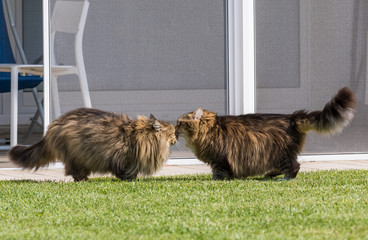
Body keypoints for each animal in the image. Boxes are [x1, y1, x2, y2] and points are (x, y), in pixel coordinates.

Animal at [7, 108, 177, 181]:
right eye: (173, 133)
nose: (177, 137)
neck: (138, 136)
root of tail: (54, 125)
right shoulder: (122, 158)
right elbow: (125, 171)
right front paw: (130, 179)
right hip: (76, 155)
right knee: (74, 171)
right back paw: (83, 179)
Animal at [176, 87, 356, 180]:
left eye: (180, 123)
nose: (175, 129)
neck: (210, 129)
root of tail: (291, 117)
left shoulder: (219, 159)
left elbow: (219, 172)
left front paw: (216, 181)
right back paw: (268, 175)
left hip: (279, 153)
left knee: (294, 167)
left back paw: (285, 178)